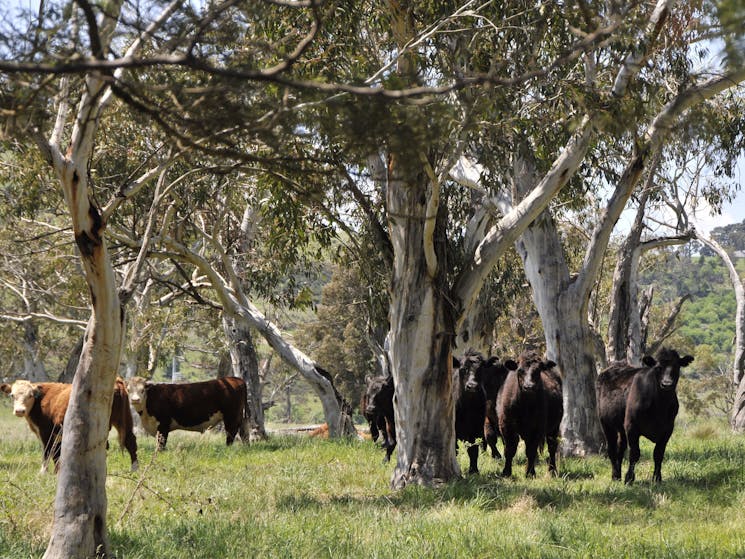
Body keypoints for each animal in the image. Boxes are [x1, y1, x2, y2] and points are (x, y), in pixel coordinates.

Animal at [1, 380, 140, 472]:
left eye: (30, 395)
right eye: (12, 395)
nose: (20, 411)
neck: (40, 400)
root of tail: (117, 382)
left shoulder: (46, 431)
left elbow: (48, 451)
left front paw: (43, 472)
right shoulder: (58, 433)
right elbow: (56, 453)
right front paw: (57, 472)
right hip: (125, 419)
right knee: (130, 441)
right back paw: (134, 469)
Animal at [496, 352, 560, 480]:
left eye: (538, 370)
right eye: (520, 370)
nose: (529, 386)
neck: (524, 406)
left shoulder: (536, 429)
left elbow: (531, 451)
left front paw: (530, 473)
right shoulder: (506, 426)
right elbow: (509, 449)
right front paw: (506, 472)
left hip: (554, 428)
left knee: (552, 447)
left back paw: (552, 471)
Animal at [596, 350, 696, 486]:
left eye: (676, 367)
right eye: (658, 367)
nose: (666, 384)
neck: (659, 406)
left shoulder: (667, 429)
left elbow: (658, 454)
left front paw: (657, 478)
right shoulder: (631, 426)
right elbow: (634, 453)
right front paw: (629, 478)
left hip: (621, 428)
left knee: (620, 449)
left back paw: (618, 474)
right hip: (606, 423)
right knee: (611, 449)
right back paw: (615, 476)